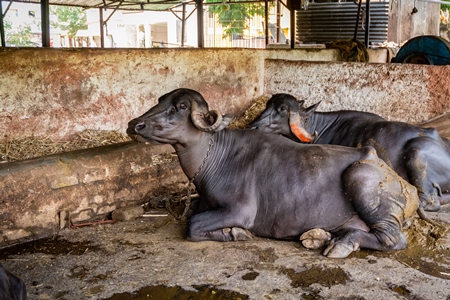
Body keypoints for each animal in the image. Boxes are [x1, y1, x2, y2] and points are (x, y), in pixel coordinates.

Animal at [125, 88, 418, 258]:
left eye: (181, 107)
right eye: (160, 101)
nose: (134, 124)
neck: (214, 157)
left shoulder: (241, 210)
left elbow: (193, 225)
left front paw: (235, 233)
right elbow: (192, 214)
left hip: (360, 178)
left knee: (392, 238)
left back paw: (340, 244)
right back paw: (320, 237)